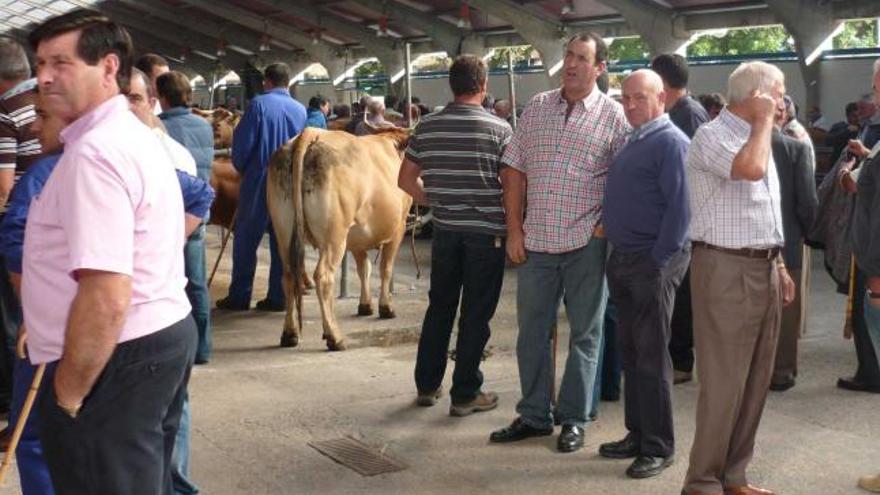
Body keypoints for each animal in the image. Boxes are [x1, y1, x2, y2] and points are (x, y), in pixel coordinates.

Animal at [266, 128, 414, 352]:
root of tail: (309, 134)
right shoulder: (398, 227)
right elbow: (385, 269)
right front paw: (386, 307)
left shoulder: (357, 236)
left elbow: (364, 268)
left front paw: (365, 305)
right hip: (334, 234)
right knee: (324, 277)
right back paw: (334, 337)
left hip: (283, 230)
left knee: (289, 275)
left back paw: (290, 334)